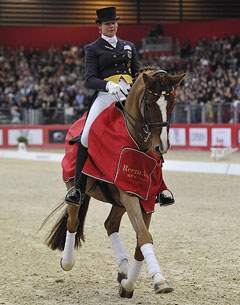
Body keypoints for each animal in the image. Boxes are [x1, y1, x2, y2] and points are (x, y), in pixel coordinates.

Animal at [42, 68, 186, 296]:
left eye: (171, 103)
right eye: (149, 103)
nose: (161, 146)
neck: (137, 142)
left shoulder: (145, 198)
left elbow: (141, 241)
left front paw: (129, 285)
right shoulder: (129, 195)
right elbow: (144, 236)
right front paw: (159, 281)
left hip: (118, 201)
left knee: (110, 224)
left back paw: (123, 270)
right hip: (75, 186)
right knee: (73, 221)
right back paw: (67, 262)